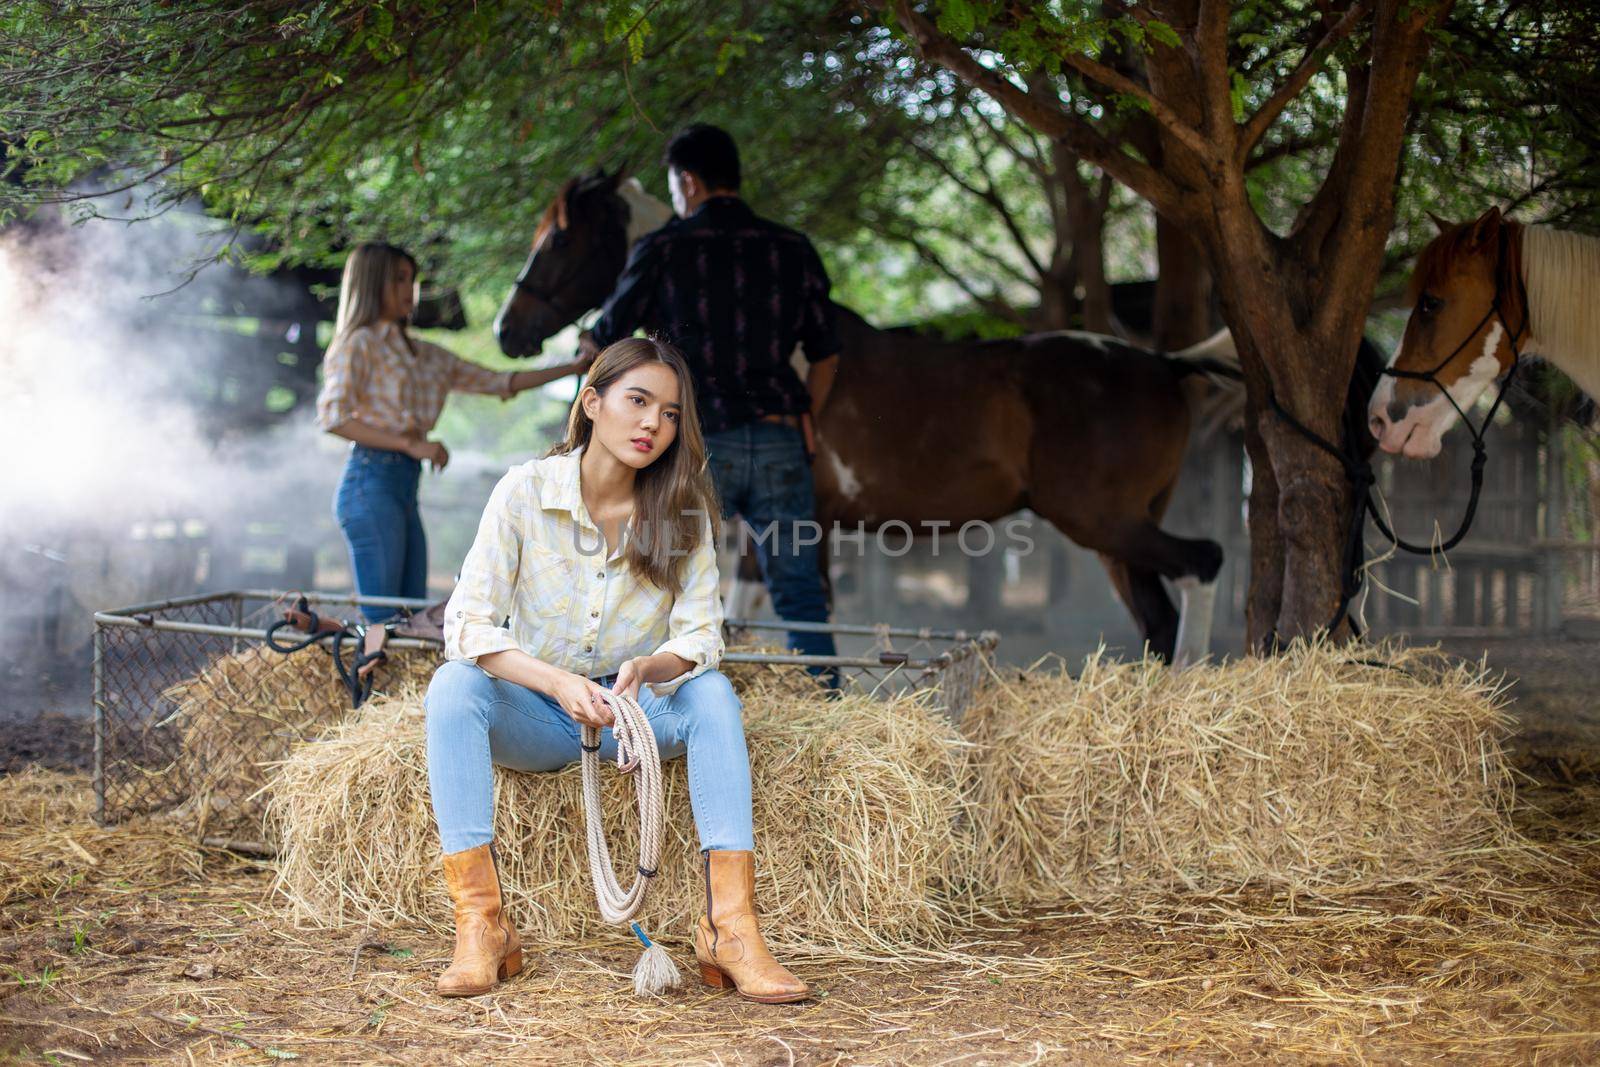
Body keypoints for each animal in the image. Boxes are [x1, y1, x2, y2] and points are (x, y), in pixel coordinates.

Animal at [499, 171, 1235, 662]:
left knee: (1202, 565)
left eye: (559, 238)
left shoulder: (796, 523)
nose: (509, 330)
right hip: (1116, 532)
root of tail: (1162, 362)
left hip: (1101, 519)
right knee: (1158, 619)